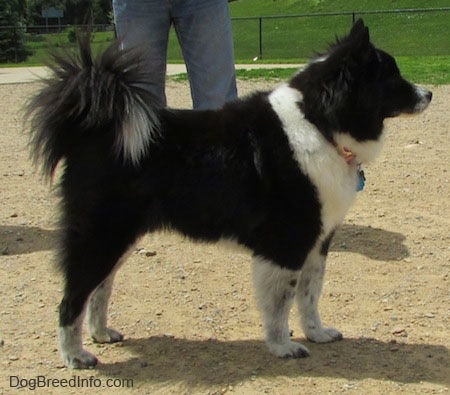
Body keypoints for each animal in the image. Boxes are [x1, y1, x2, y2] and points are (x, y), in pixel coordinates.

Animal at [29, 20, 432, 370]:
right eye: (391, 75)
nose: (428, 93)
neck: (319, 122)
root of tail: (95, 125)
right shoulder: (286, 244)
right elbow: (281, 304)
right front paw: (283, 346)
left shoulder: (317, 243)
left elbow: (309, 296)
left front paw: (316, 333)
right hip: (100, 236)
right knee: (71, 299)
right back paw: (75, 356)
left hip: (119, 238)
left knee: (99, 289)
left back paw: (100, 333)